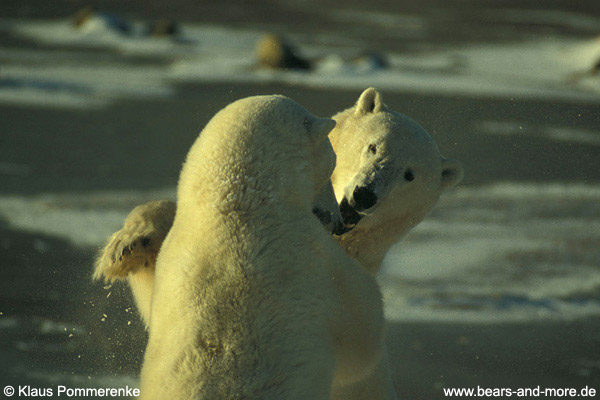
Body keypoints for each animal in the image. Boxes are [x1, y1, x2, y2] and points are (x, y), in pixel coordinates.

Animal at [139, 95, 384, 398]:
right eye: (332, 163)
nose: (338, 221)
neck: (239, 206)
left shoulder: (170, 263)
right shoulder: (317, 260)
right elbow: (365, 331)